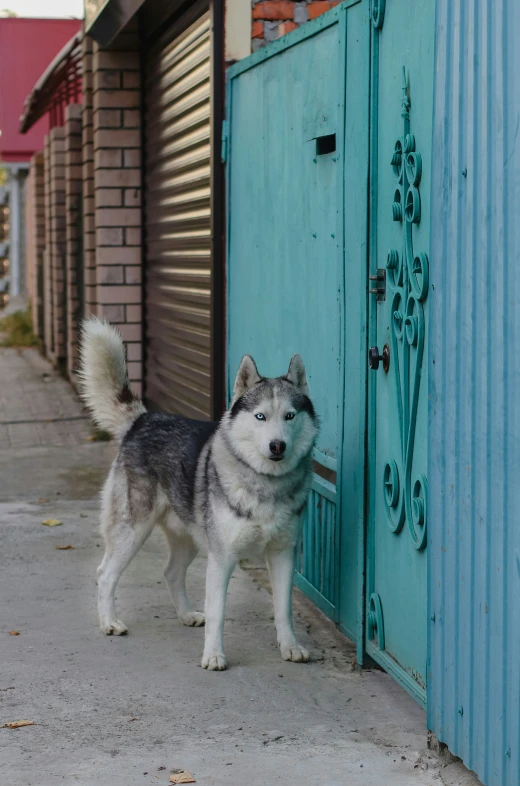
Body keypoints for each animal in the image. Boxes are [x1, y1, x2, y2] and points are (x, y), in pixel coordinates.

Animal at [79, 318, 318, 668]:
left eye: (290, 416)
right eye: (260, 416)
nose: (278, 446)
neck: (264, 484)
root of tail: (144, 418)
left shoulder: (283, 554)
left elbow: (283, 610)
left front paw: (290, 646)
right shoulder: (222, 558)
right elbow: (218, 613)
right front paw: (214, 655)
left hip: (187, 537)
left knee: (171, 572)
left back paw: (187, 614)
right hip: (132, 531)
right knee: (105, 573)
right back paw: (109, 622)